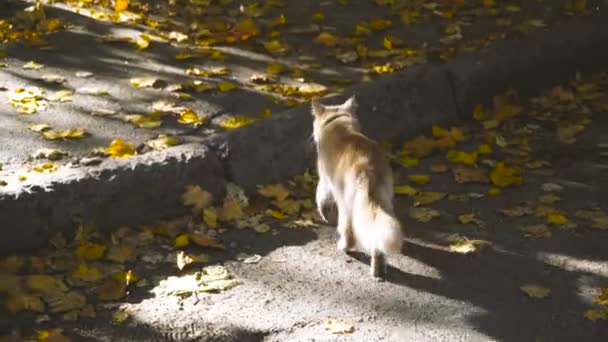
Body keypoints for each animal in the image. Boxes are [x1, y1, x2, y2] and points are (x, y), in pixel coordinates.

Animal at [308, 95, 404, 278]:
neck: (338, 122)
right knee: (377, 241)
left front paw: (325, 215)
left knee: (349, 233)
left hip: (347, 205)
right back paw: (378, 270)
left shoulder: (325, 179)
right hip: (383, 201)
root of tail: (367, 167)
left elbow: (320, 197)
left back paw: (344, 247)